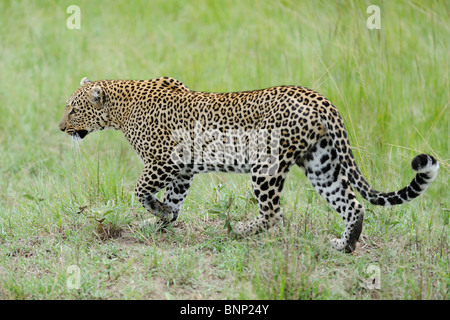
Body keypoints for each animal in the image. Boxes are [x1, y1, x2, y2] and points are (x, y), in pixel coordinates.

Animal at [58, 77, 438, 252]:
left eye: (73, 109)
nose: (61, 128)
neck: (120, 109)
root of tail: (321, 99)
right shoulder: (182, 170)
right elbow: (174, 199)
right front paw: (163, 222)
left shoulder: (164, 161)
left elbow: (139, 190)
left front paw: (158, 214)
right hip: (321, 164)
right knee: (352, 204)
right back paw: (344, 246)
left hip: (266, 166)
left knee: (273, 213)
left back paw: (238, 231)